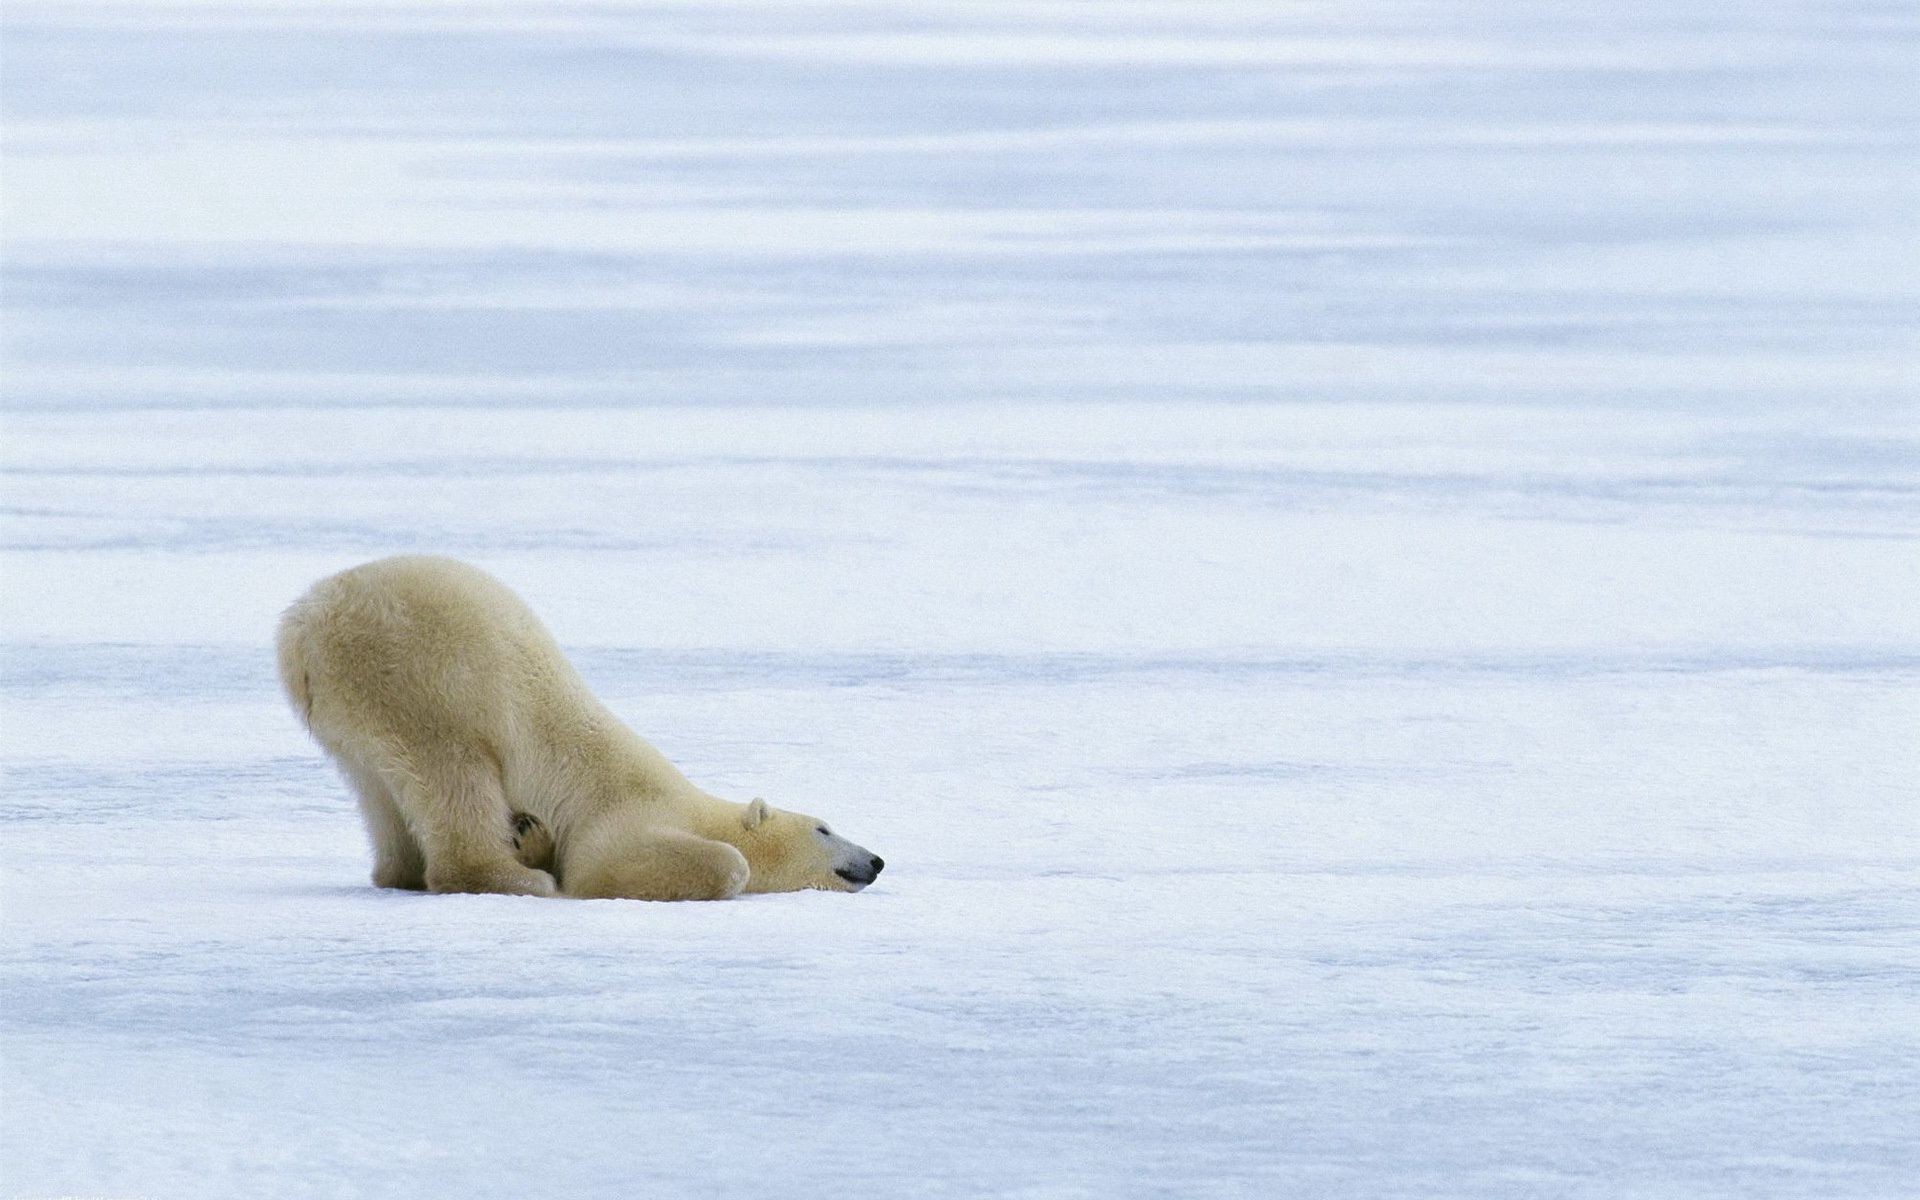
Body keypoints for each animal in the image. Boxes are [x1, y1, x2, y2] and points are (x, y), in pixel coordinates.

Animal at [272, 552, 883, 898]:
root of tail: (304, 624)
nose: (876, 860)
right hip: (422, 677)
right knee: (453, 773)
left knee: (379, 789)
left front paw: (532, 837)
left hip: (350, 711)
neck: (692, 806)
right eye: (824, 828)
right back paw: (515, 879)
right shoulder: (623, 815)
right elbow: (630, 866)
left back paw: (404, 869)